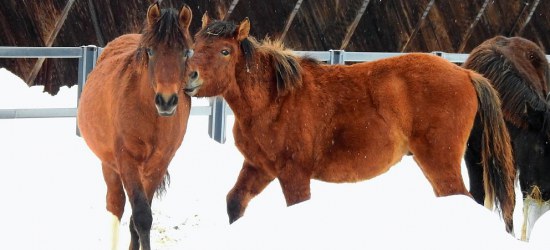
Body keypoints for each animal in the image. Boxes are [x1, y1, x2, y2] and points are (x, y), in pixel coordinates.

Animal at [77, 2, 194, 250]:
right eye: (150, 51)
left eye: (186, 52)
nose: (166, 101)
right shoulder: (126, 159)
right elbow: (141, 216)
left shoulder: (158, 164)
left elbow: (139, 219)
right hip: (109, 166)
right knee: (115, 206)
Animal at [185, 16, 516, 233]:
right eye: (194, 44)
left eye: (225, 51)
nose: (189, 77)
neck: (274, 98)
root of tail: (466, 74)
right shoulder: (259, 167)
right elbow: (235, 202)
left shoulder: (294, 173)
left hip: (440, 162)